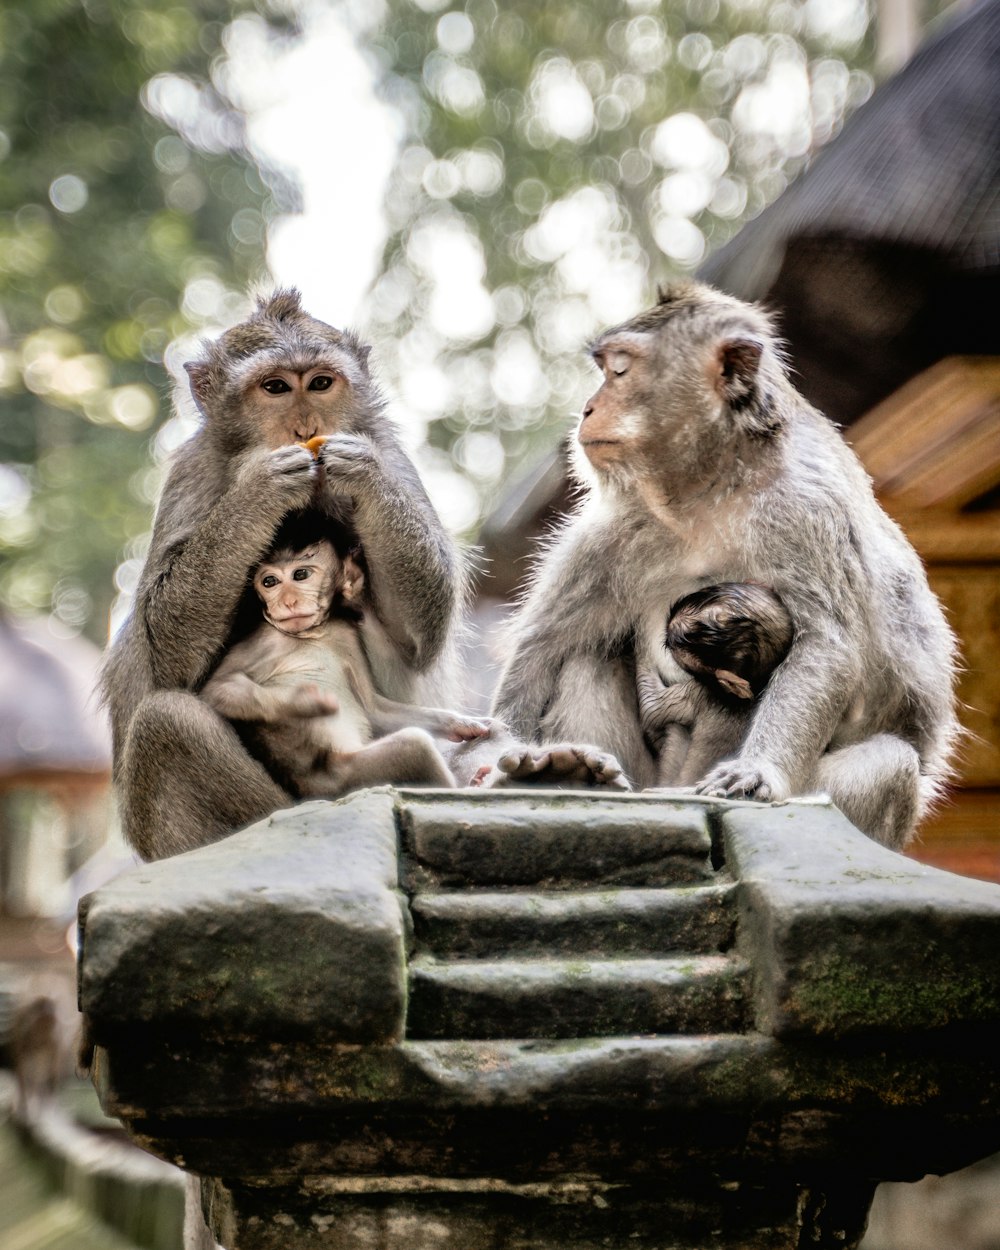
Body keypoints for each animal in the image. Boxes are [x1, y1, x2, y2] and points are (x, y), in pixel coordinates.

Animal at [201, 520, 495, 795]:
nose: (287, 602)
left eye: (300, 574)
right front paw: (305, 701)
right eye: (269, 582)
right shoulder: (265, 640)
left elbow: (373, 708)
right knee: (413, 745)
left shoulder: (346, 636)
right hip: (344, 777)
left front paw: (460, 724)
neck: (312, 635)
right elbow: (218, 687)